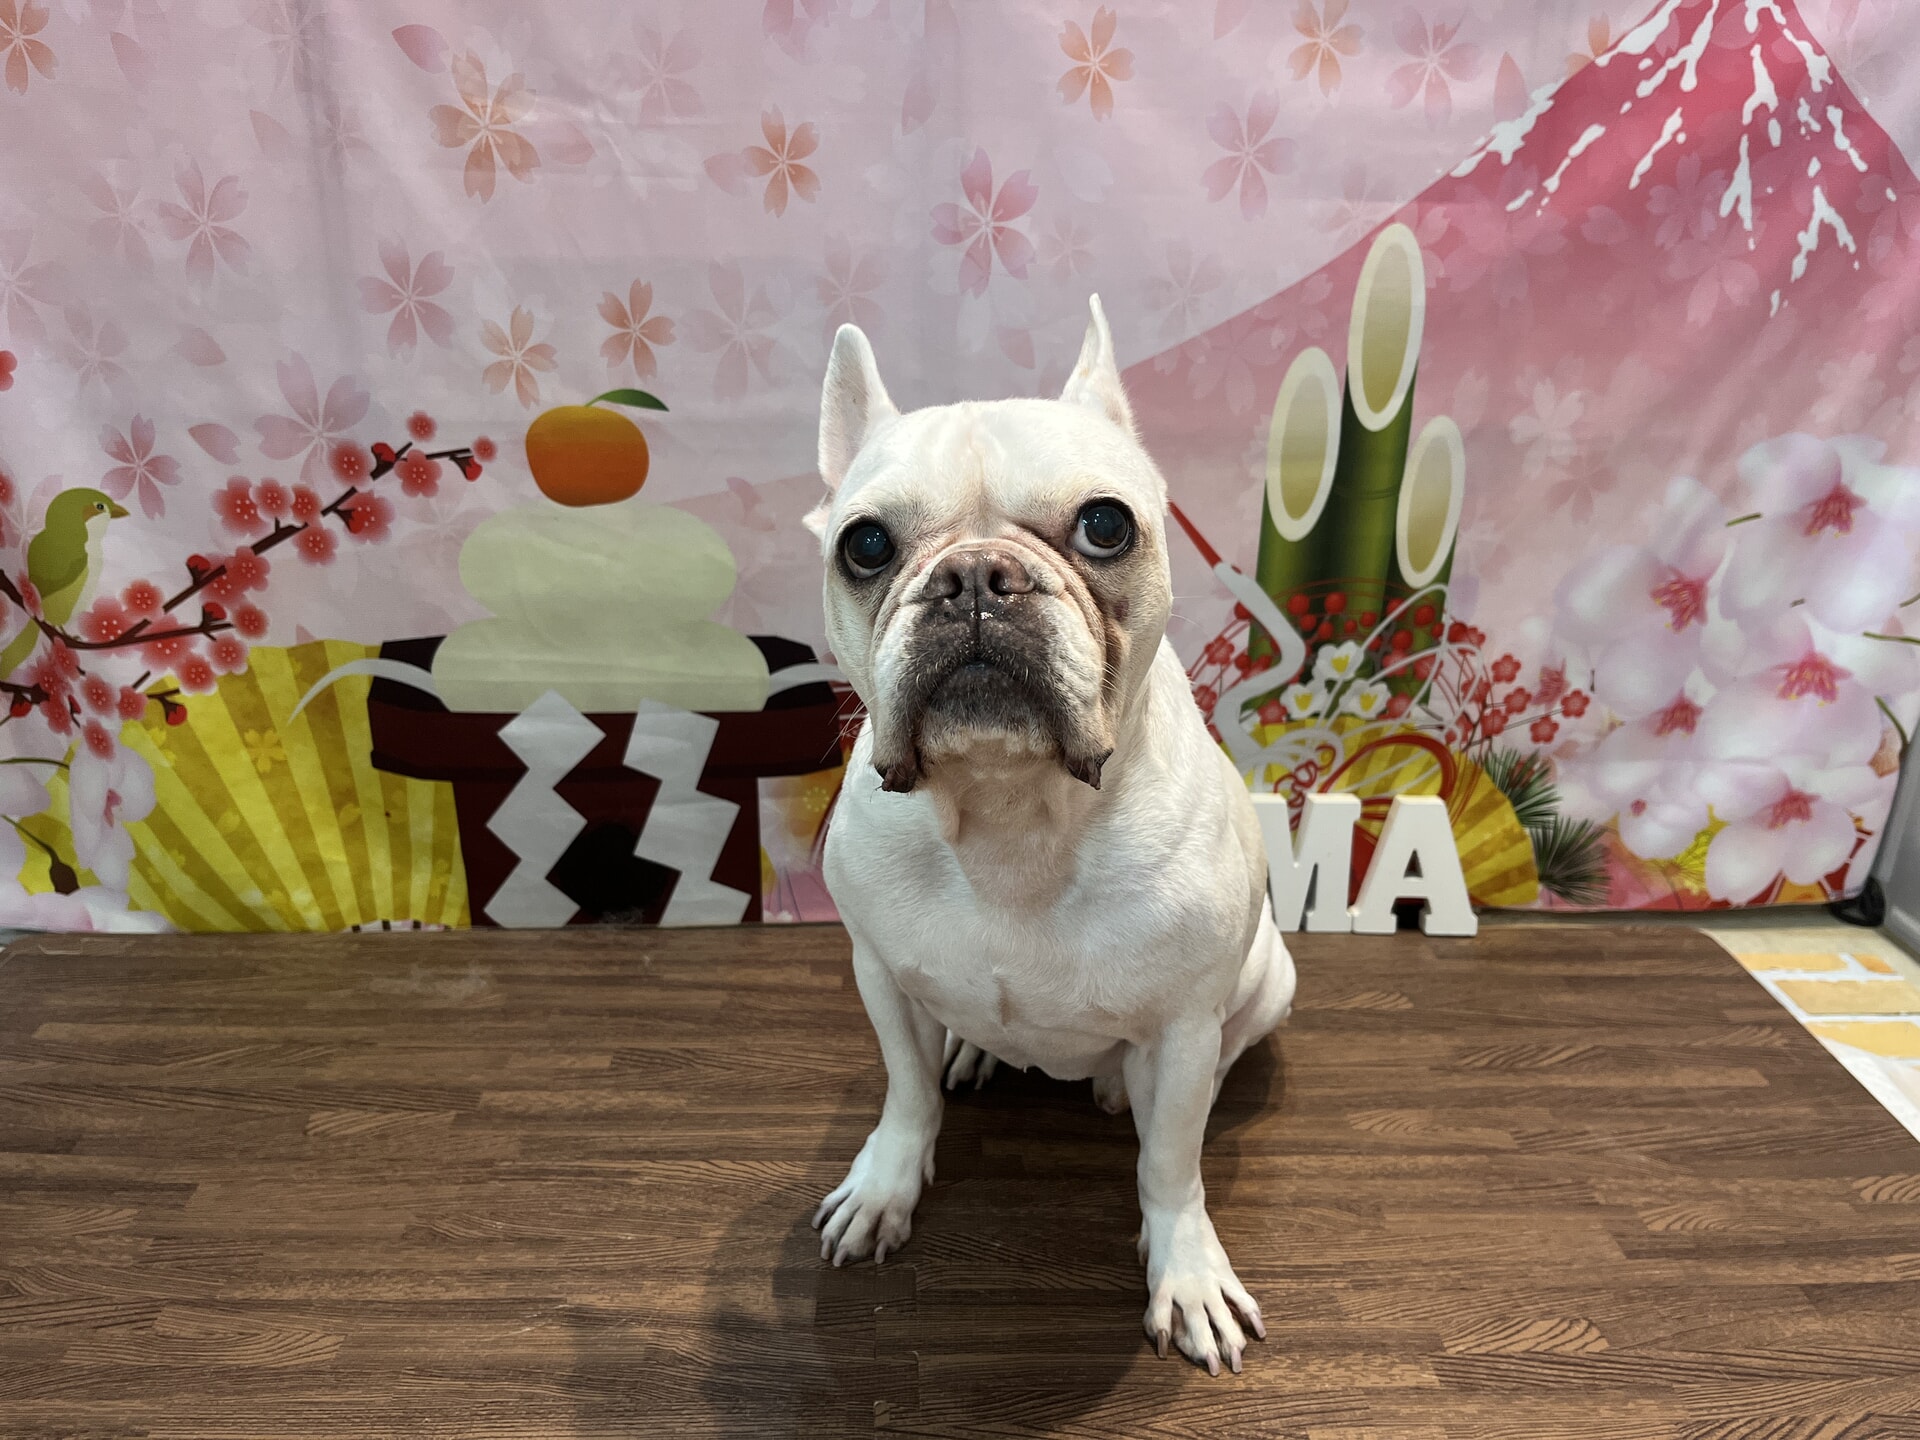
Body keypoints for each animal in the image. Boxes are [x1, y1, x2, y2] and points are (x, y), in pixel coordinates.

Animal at [804, 296, 1296, 1376]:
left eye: (1105, 525)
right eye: (865, 545)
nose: (975, 575)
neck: (1009, 808)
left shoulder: (1184, 1026)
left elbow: (1172, 1163)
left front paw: (1184, 1268)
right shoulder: (878, 974)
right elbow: (907, 1092)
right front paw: (887, 1187)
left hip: (1269, 979)